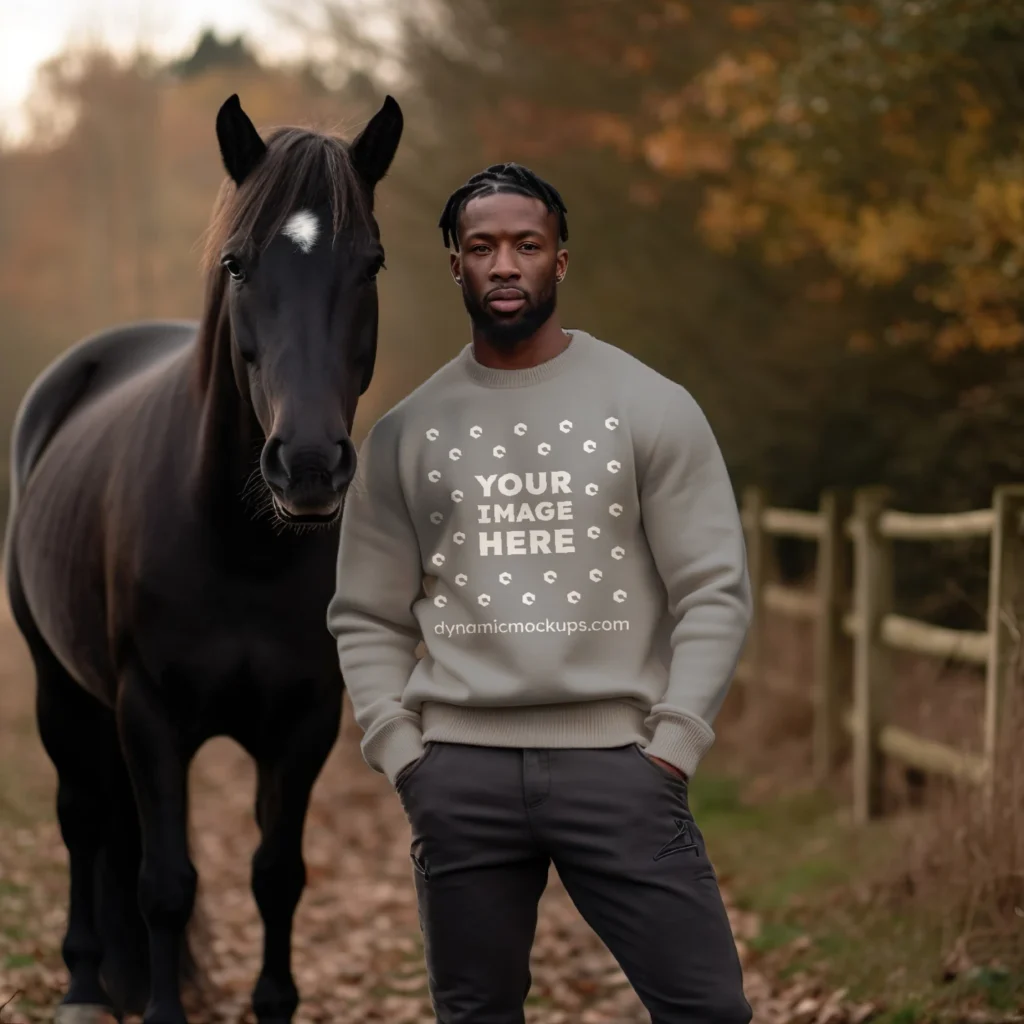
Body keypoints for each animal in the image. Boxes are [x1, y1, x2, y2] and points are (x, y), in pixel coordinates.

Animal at [4, 92, 403, 1019]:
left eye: (371, 264)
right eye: (237, 263)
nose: (308, 464)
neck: (238, 547)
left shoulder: (304, 723)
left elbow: (277, 877)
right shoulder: (150, 716)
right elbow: (166, 884)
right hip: (59, 688)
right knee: (84, 818)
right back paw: (84, 985)